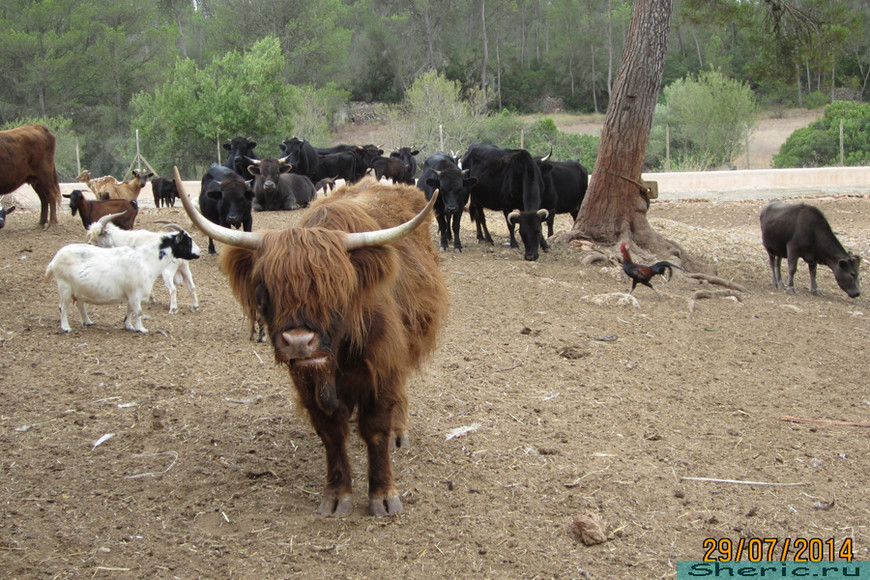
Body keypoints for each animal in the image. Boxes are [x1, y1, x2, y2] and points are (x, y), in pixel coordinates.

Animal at [177, 168, 450, 516]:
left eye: (336, 289)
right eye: (266, 290)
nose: (298, 342)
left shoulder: (382, 365)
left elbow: (376, 428)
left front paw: (383, 495)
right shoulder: (305, 380)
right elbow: (330, 433)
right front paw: (337, 495)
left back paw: (399, 432)